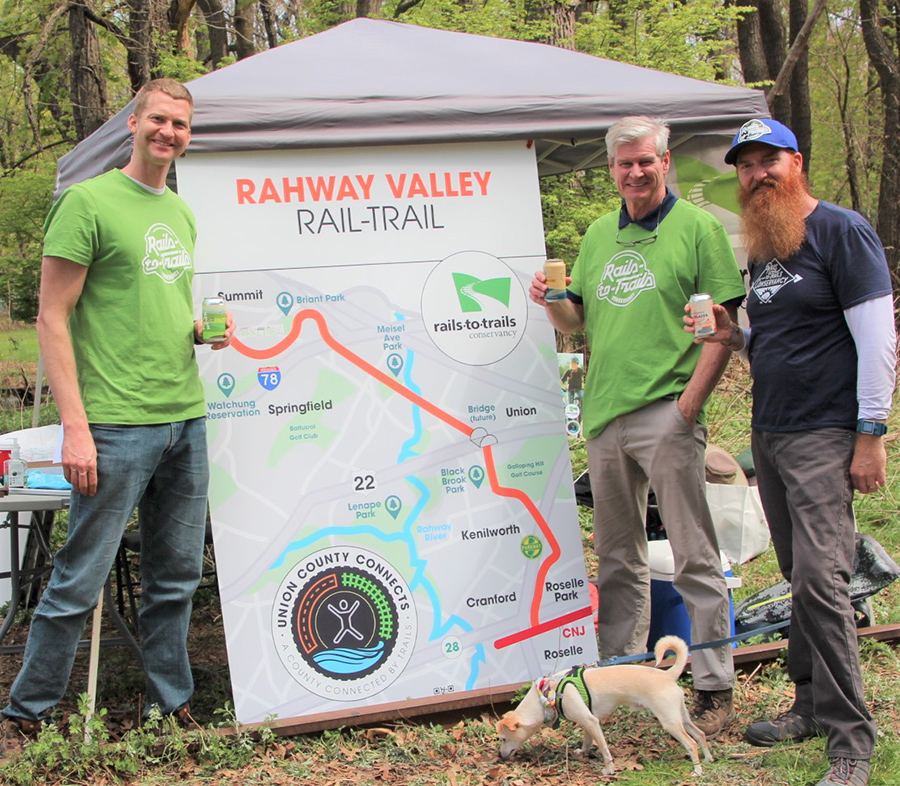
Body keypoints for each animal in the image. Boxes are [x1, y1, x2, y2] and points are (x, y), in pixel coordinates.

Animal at [496, 632, 712, 776]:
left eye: (503, 739)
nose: (499, 755)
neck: (548, 693)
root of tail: (667, 675)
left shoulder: (592, 721)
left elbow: (603, 748)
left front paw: (608, 769)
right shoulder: (588, 720)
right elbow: (587, 740)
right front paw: (583, 752)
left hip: (669, 722)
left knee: (691, 743)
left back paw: (698, 771)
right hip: (681, 717)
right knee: (700, 734)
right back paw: (708, 758)